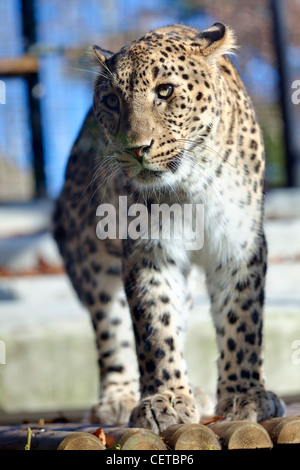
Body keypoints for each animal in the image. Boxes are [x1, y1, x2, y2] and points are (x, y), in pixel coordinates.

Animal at [52, 23, 284, 434]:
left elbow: (241, 321)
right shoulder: (149, 251)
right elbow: (155, 328)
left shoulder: (240, 246)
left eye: (165, 91)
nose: (136, 149)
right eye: (111, 101)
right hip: (90, 258)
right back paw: (118, 397)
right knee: (110, 328)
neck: (192, 183)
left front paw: (247, 396)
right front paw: (164, 400)